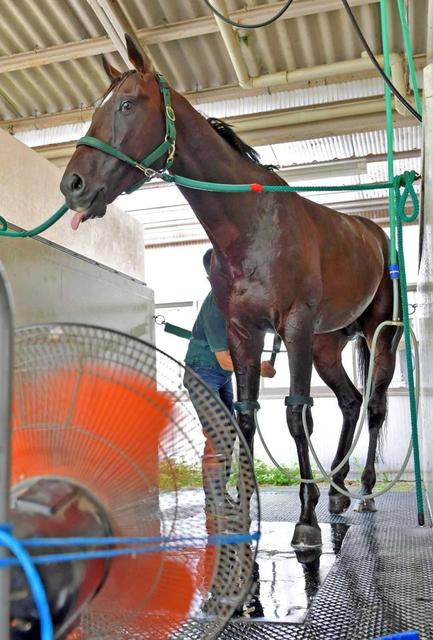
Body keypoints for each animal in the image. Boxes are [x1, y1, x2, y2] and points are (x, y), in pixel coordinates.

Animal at [59, 35, 400, 548]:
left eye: (127, 104)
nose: (72, 185)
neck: (252, 225)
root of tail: (374, 234)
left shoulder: (294, 327)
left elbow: (297, 416)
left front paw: (305, 517)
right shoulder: (244, 332)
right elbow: (243, 416)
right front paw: (242, 504)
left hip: (379, 334)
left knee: (375, 406)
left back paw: (362, 490)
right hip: (326, 345)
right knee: (350, 402)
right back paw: (337, 490)